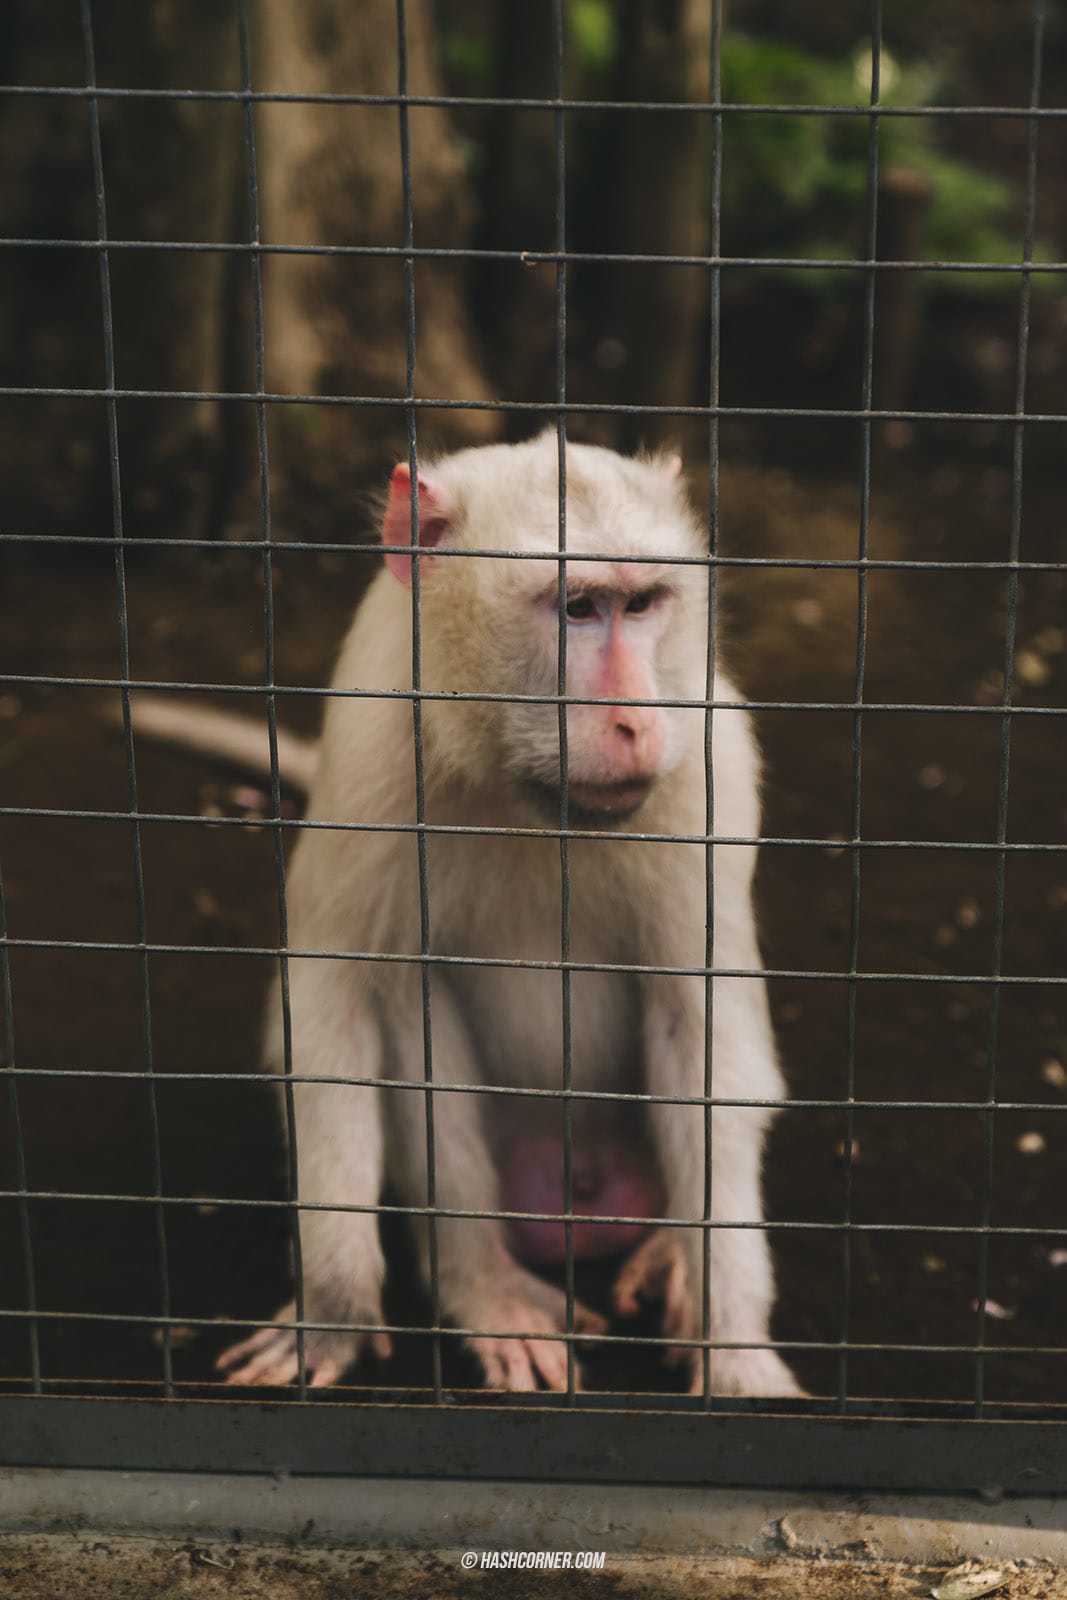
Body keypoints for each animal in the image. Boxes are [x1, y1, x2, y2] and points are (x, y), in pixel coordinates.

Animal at [133, 432, 799, 1395]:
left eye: (641, 605)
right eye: (577, 608)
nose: (636, 722)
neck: (523, 791)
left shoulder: (705, 768)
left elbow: (702, 1022)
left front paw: (736, 1347)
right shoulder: (374, 760)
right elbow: (334, 1005)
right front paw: (332, 1311)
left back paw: (669, 1252)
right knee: (410, 1007)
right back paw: (484, 1285)